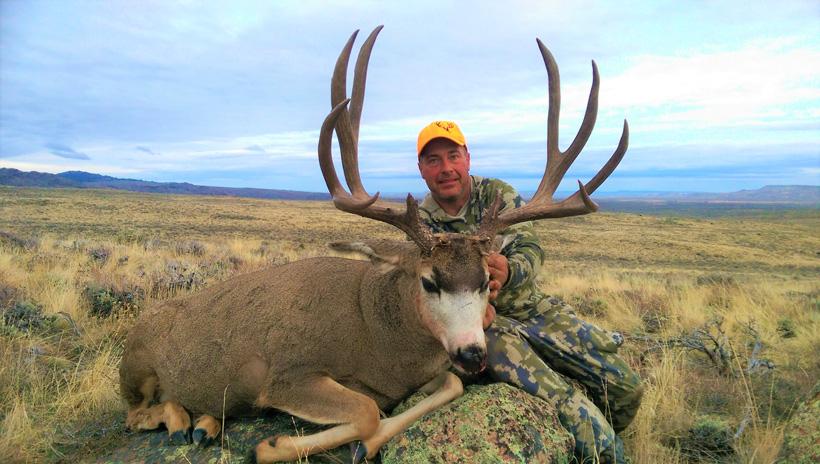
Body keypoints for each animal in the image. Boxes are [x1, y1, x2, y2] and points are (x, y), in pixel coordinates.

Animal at [118, 25, 628, 463]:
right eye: (428, 281)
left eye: (487, 280)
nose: (473, 353)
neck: (378, 335)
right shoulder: (287, 374)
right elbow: (366, 412)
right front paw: (273, 445)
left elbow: (446, 387)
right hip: (135, 367)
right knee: (135, 414)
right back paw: (181, 421)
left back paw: (203, 421)